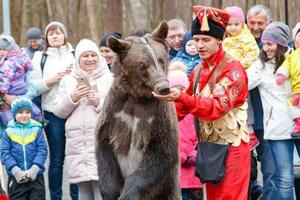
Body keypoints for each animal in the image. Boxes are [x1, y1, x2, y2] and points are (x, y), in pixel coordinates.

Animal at [96, 21, 180, 199]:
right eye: (142, 64)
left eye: (161, 59)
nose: (163, 87)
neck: (137, 97)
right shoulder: (114, 113)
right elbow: (104, 146)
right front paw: (110, 192)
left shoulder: (157, 117)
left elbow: (161, 151)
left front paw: (128, 193)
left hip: (167, 188)